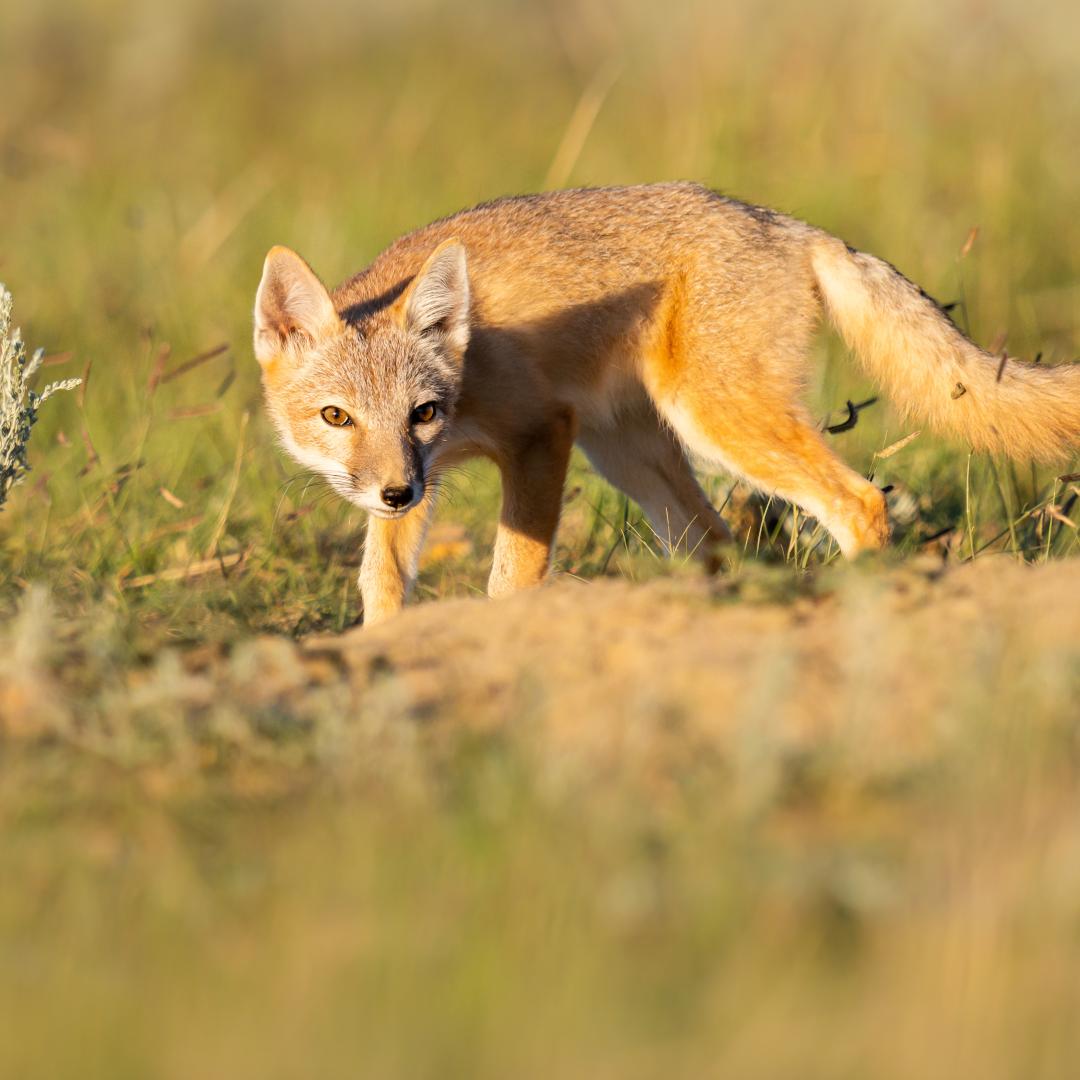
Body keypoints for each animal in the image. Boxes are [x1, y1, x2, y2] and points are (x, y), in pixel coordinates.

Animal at [253, 182, 1080, 624]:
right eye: (337, 417)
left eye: (423, 411)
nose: (395, 491)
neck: (470, 361)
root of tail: (784, 224)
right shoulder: (422, 480)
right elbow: (383, 579)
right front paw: (382, 644)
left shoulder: (538, 436)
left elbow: (511, 577)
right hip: (632, 454)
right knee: (718, 543)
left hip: (716, 425)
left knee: (858, 502)